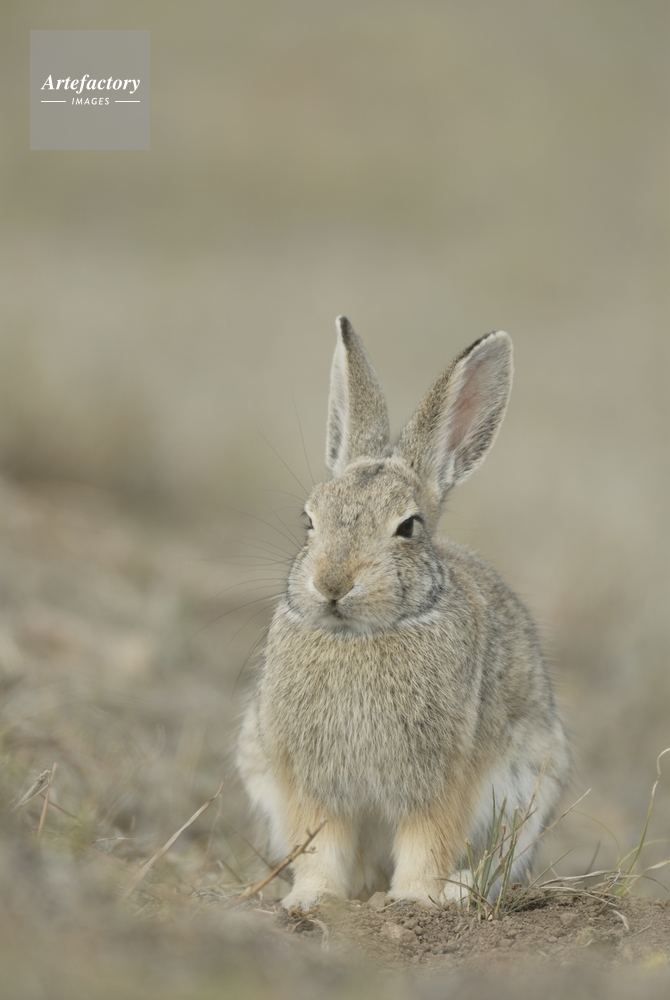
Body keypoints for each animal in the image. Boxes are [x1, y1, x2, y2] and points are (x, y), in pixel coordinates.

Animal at [237, 316, 570, 912]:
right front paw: (311, 900)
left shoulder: (443, 780)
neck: (360, 635)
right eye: (309, 519)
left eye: (408, 526)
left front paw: (414, 900)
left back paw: (457, 892)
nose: (332, 583)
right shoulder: (310, 781)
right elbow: (319, 845)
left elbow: (428, 841)